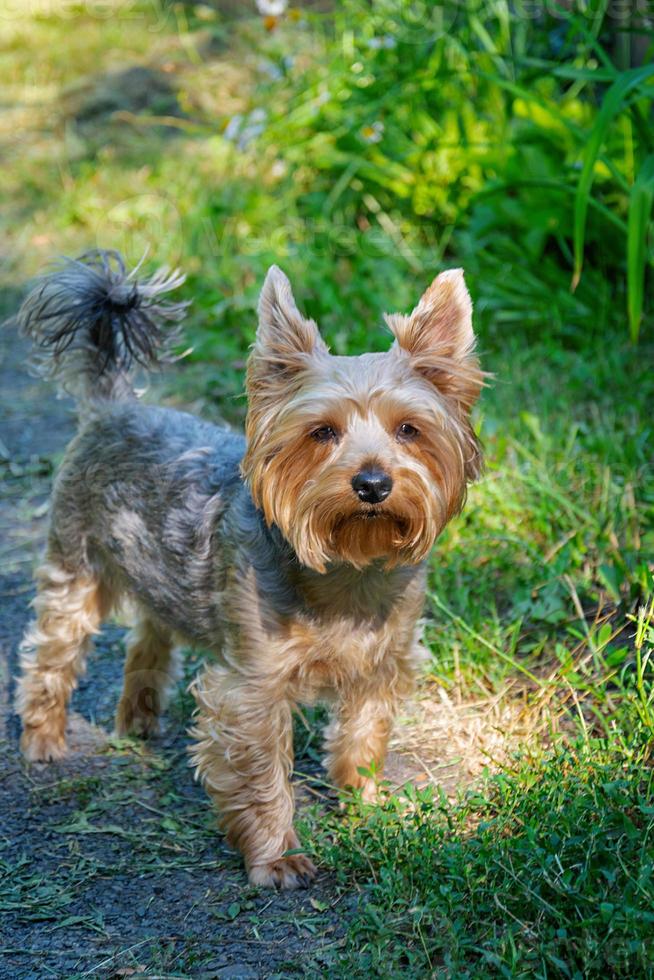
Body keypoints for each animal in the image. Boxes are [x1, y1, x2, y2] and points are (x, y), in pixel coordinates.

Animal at [15, 251, 484, 888]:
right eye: (322, 432)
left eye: (409, 429)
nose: (372, 483)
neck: (349, 568)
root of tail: (115, 407)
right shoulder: (254, 686)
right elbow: (262, 773)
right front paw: (276, 856)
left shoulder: (381, 662)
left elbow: (364, 734)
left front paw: (364, 804)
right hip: (74, 561)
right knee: (53, 649)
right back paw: (43, 738)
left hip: (160, 571)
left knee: (150, 633)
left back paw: (137, 718)